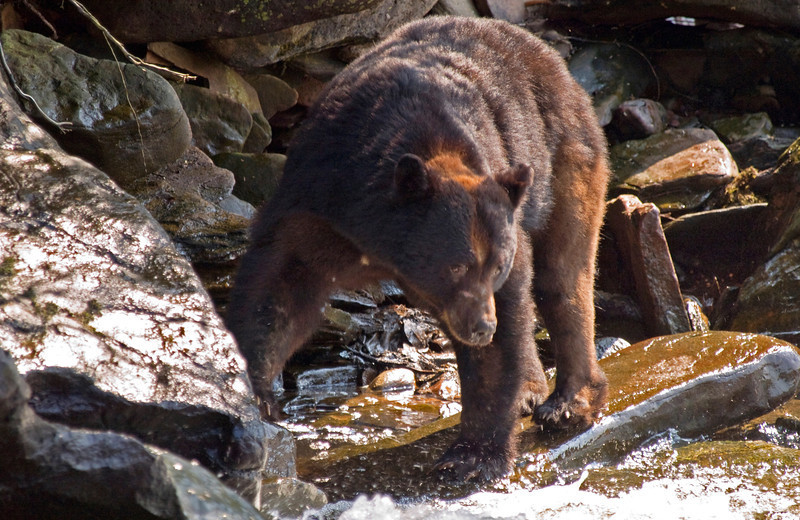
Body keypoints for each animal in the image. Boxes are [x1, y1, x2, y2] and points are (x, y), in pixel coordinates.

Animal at [225, 15, 612, 480]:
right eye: (457, 266)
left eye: (496, 267)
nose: (482, 327)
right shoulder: (319, 199)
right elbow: (280, 288)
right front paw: (255, 392)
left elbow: (507, 330)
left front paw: (473, 455)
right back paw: (532, 390)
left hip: (563, 159)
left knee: (564, 276)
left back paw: (569, 404)